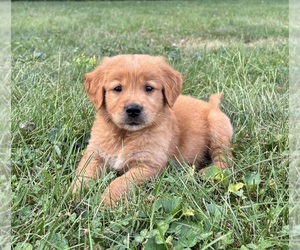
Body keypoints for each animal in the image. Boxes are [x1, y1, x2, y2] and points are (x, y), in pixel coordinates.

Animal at [71, 54, 233, 205]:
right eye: (117, 88)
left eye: (148, 88)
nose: (133, 109)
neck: (125, 135)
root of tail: (212, 105)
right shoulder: (94, 154)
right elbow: (84, 173)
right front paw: (74, 195)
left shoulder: (148, 165)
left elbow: (120, 182)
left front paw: (105, 201)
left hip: (218, 128)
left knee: (224, 156)